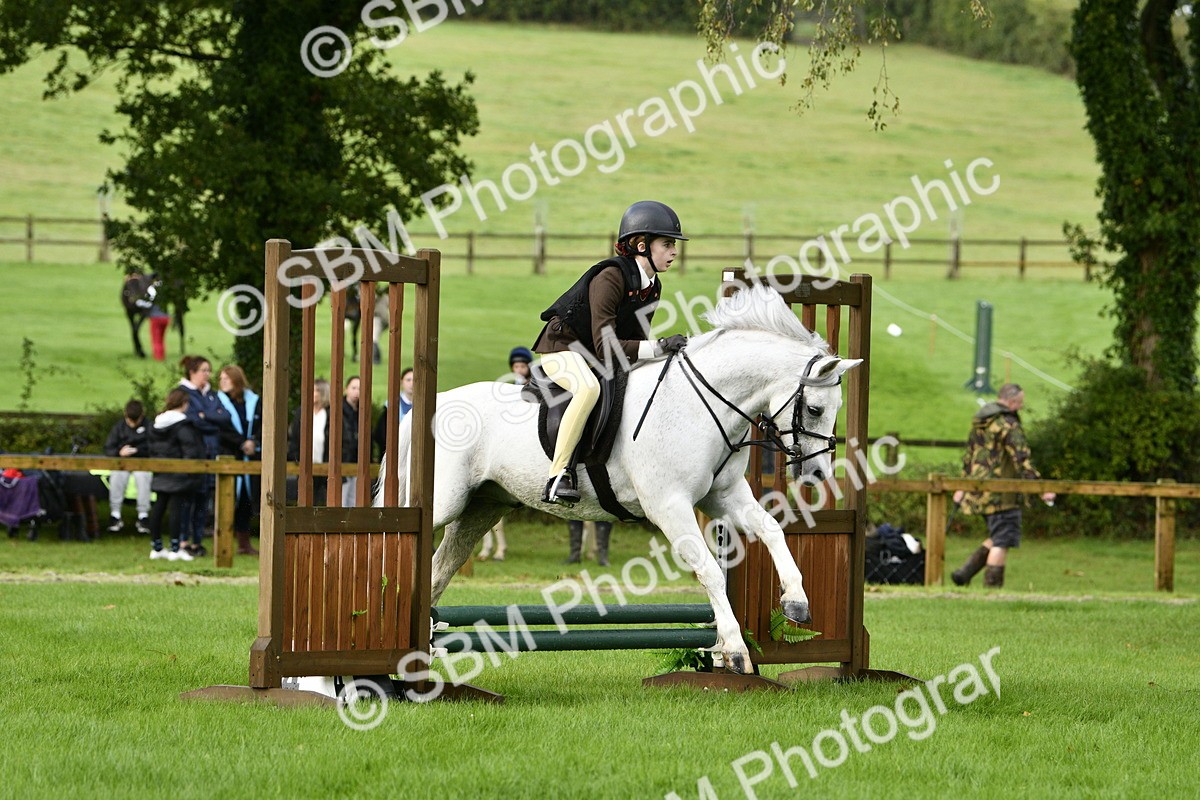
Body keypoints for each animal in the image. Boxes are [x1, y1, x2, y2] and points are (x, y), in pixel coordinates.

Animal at [376, 284, 861, 673]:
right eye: (814, 408)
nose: (817, 473)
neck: (703, 402)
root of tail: (430, 406)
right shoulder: (670, 506)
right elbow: (710, 569)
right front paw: (736, 649)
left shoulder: (722, 497)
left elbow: (771, 529)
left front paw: (796, 603)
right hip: (445, 502)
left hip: (482, 508)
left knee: (441, 567)